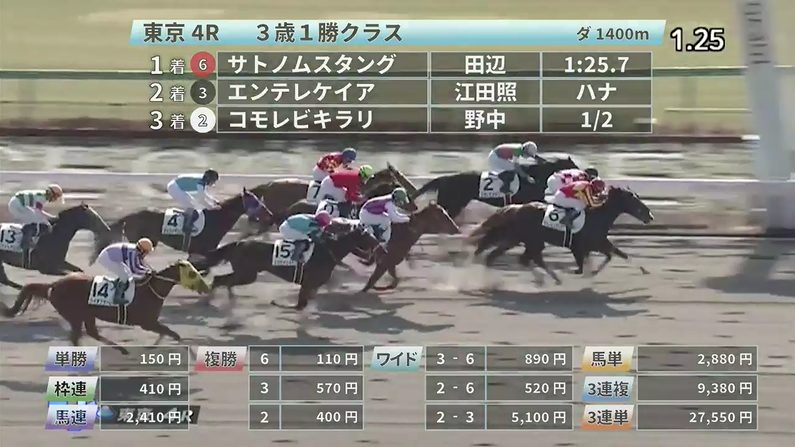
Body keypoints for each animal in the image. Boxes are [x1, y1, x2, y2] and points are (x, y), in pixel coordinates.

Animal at [1, 260, 210, 353]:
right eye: (192, 273)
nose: (206, 287)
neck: (151, 289)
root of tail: (54, 285)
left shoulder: (151, 322)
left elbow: (168, 333)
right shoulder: (147, 322)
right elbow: (173, 333)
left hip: (86, 315)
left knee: (90, 333)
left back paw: (121, 350)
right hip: (75, 314)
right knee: (77, 336)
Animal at [189, 221, 381, 310]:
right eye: (368, 235)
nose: (379, 244)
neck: (328, 250)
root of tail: (239, 243)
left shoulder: (312, 285)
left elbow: (306, 301)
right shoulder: (308, 282)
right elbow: (300, 304)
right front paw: (279, 303)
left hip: (246, 273)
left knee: (224, 280)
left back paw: (226, 298)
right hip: (247, 274)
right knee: (220, 280)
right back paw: (211, 299)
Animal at [412, 157, 580, 219]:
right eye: (574, 167)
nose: (585, 173)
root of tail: (445, 178)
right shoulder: (532, 199)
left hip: (457, 203)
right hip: (450, 201)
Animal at [467, 186, 654, 283]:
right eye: (633, 199)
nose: (650, 215)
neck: (597, 217)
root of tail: (514, 208)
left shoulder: (596, 244)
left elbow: (614, 255)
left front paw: (644, 269)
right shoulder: (587, 245)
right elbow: (608, 257)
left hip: (515, 238)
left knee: (500, 257)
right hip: (527, 239)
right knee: (523, 258)